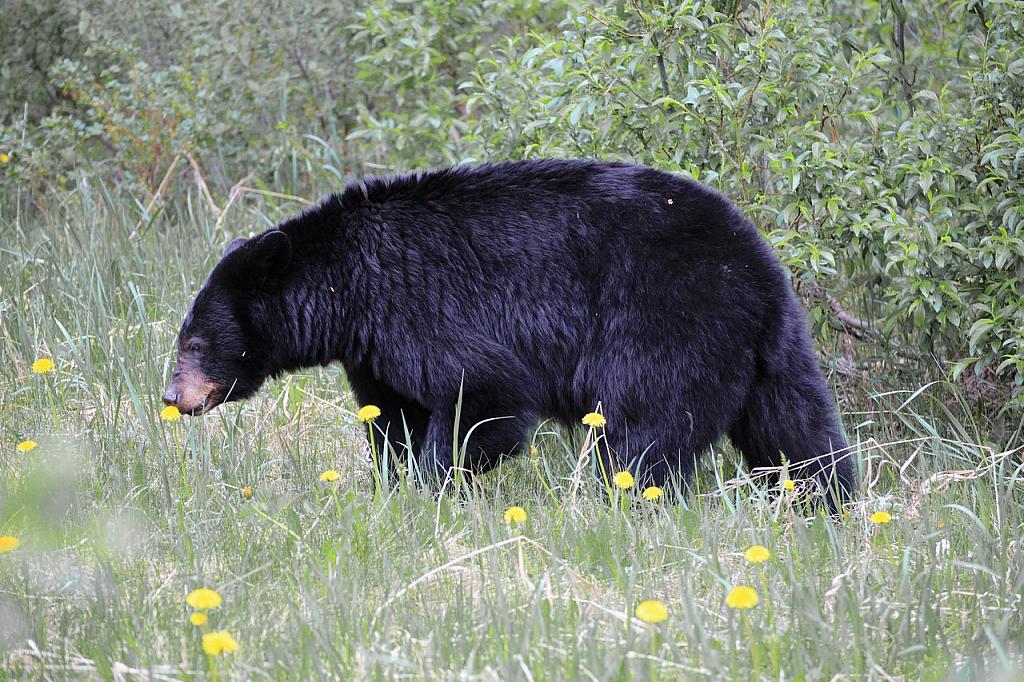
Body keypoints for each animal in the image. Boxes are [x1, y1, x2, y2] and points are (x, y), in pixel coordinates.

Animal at [163, 157, 856, 503]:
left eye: (194, 342)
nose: (172, 397)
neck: (348, 288)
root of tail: (757, 270)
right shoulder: (375, 347)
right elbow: (391, 413)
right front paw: (391, 481)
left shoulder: (418, 307)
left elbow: (484, 391)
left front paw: (430, 488)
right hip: (770, 345)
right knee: (796, 428)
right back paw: (824, 503)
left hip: (666, 319)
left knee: (644, 429)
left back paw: (621, 502)